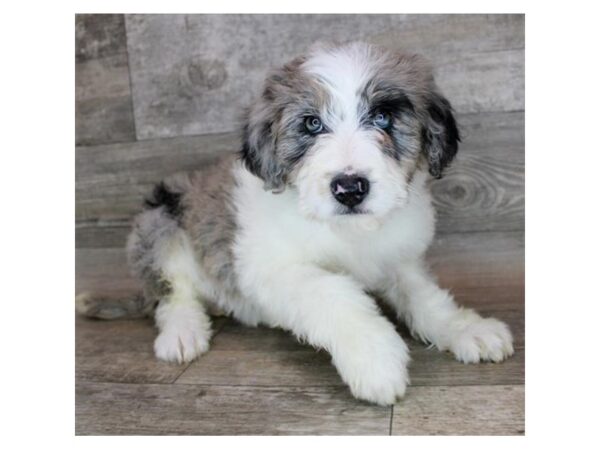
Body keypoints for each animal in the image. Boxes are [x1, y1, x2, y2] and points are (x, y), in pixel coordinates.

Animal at [77, 42, 512, 406]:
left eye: (383, 117)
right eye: (312, 125)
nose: (350, 189)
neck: (348, 232)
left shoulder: (399, 260)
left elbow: (426, 298)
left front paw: (466, 328)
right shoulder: (271, 269)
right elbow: (334, 293)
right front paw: (376, 359)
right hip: (160, 222)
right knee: (173, 294)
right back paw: (183, 333)